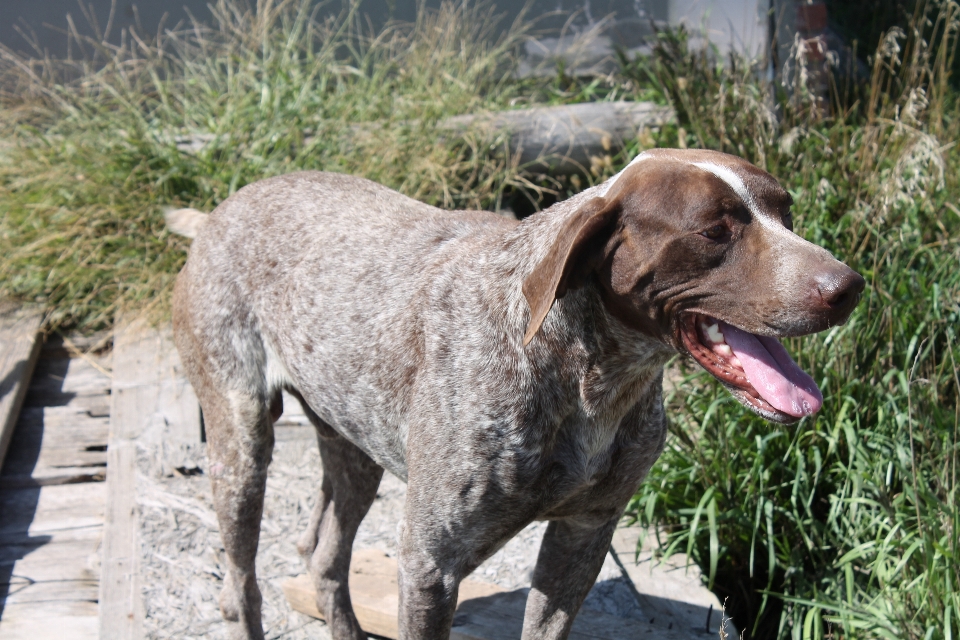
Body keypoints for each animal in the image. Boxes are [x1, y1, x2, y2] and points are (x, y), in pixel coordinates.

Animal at [169, 149, 868, 640]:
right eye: (714, 232)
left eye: (786, 213)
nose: (849, 286)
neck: (591, 379)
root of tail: (221, 210)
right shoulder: (431, 565)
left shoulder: (582, 536)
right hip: (241, 444)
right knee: (246, 583)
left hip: (355, 454)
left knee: (324, 563)